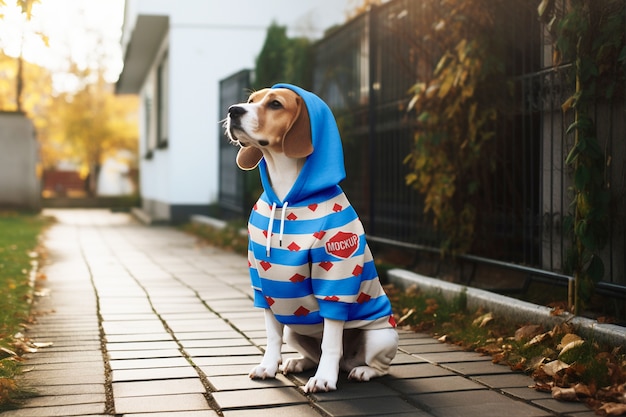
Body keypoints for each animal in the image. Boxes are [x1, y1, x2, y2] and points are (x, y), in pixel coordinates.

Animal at [223, 83, 394, 390]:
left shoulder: (336, 277)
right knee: (308, 351)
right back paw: (298, 362)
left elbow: (331, 342)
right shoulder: (263, 284)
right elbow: (272, 335)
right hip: (295, 329)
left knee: (376, 366)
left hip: (381, 336)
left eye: (275, 104)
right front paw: (268, 366)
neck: (285, 195)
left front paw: (324, 379)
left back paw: (361, 370)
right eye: (251, 100)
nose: (233, 110)